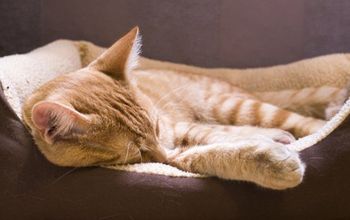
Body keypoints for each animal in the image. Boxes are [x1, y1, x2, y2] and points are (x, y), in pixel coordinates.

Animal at [23, 27, 328, 189]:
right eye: (138, 153)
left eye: (157, 128)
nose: (161, 154)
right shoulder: (176, 154)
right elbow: (207, 152)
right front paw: (269, 158)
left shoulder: (178, 129)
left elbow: (215, 137)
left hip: (235, 105)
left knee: (302, 122)